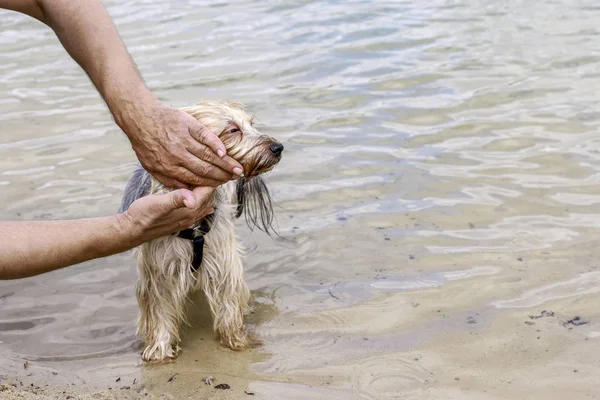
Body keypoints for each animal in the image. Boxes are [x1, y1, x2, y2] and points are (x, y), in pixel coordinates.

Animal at [120, 101, 284, 362]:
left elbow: (228, 301)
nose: (278, 147)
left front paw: (236, 340)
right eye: (233, 130)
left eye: (251, 124)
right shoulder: (159, 268)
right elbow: (160, 308)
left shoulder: (223, 260)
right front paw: (160, 350)